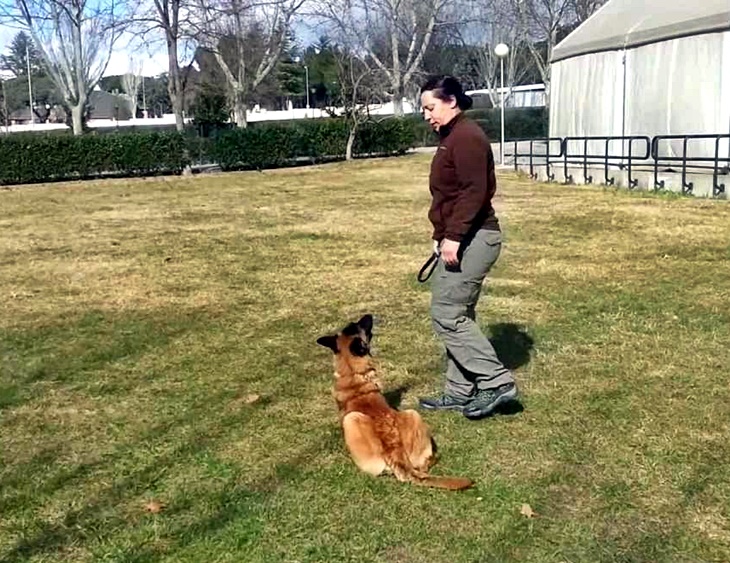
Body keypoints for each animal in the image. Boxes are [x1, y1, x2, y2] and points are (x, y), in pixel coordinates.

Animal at [318, 316, 472, 492]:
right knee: (425, 464)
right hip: (412, 414)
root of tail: (397, 454)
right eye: (355, 325)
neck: (353, 373)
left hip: (352, 420)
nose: (369, 315)